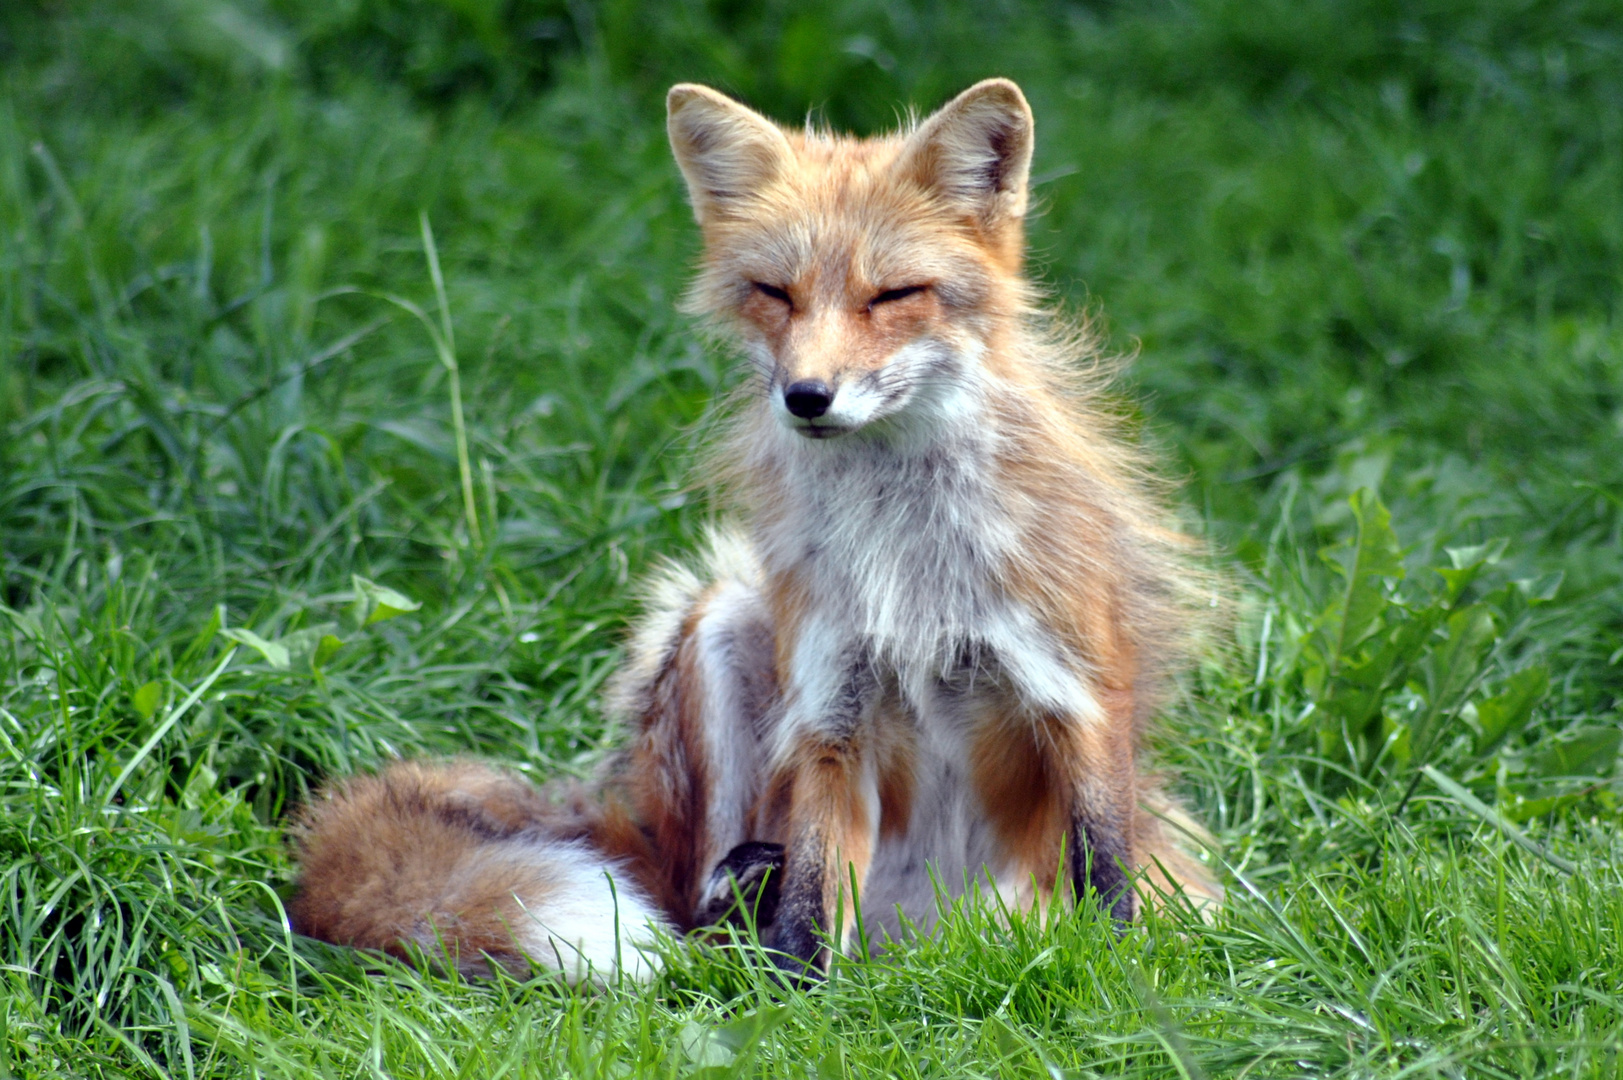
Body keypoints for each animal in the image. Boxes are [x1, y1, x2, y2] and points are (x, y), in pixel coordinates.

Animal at [288, 77, 1220, 987]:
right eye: (776, 294)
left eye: (892, 295)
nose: (807, 396)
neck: (909, 558)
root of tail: (921, 948)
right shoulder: (829, 710)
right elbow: (810, 902)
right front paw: (795, 1003)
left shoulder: (1077, 684)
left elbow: (1104, 869)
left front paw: (1117, 972)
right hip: (718, 622)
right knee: (696, 902)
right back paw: (733, 917)